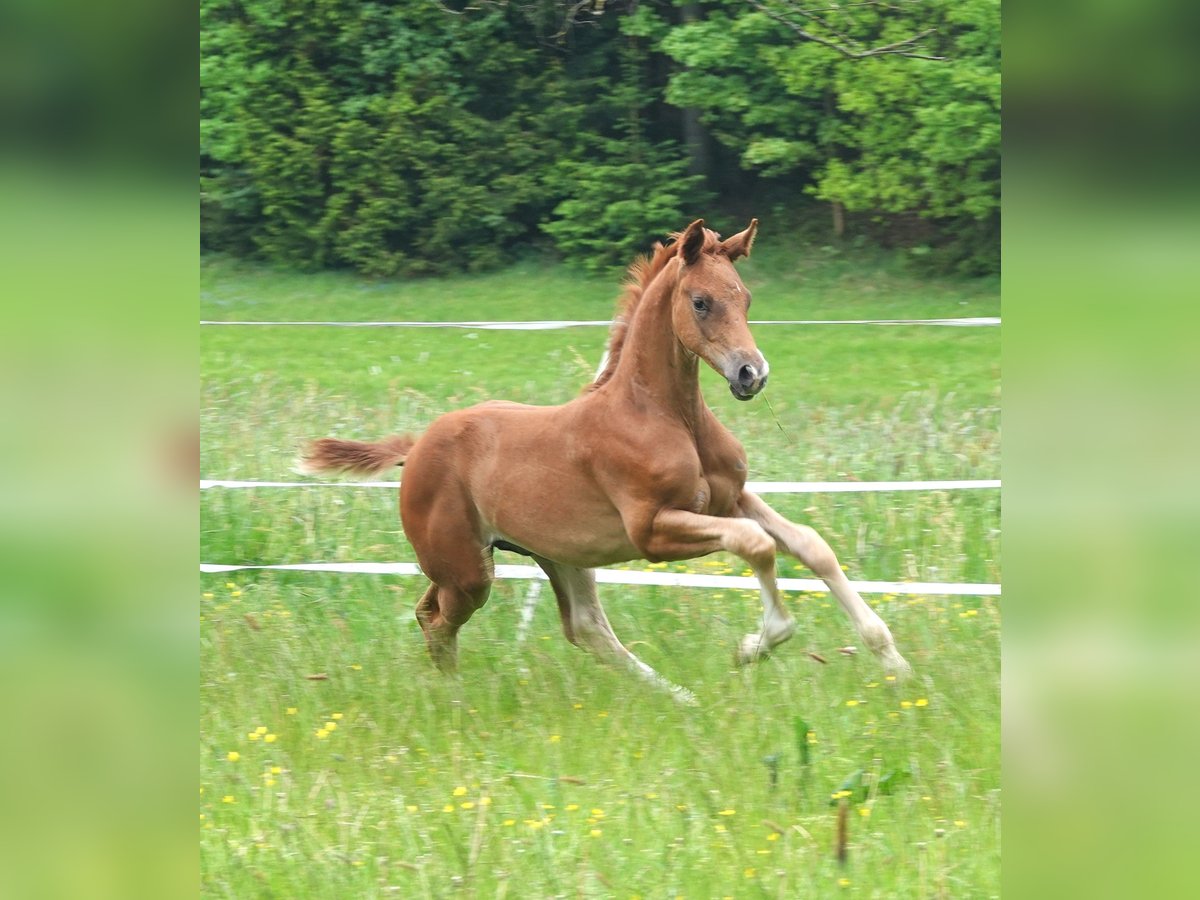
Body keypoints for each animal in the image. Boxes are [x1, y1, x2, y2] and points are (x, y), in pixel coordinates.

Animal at [302, 220, 907, 705]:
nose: (750, 374)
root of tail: (417, 446)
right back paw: (455, 698)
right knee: (435, 617)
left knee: (585, 627)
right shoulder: (653, 531)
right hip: (468, 570)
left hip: (561, 553)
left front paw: (894, 661)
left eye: (746, 297)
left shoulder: (731, 499)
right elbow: (756, 546)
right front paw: (755, 645)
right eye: (701, 301)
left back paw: (681, 699)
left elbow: (811, 545)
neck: (667, 415)